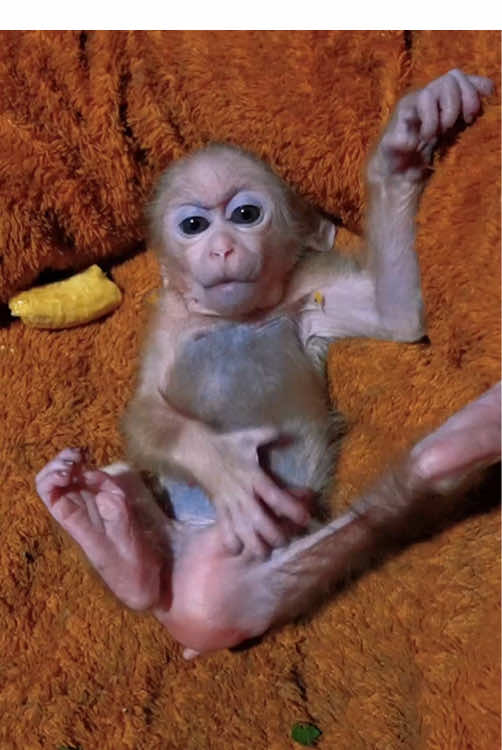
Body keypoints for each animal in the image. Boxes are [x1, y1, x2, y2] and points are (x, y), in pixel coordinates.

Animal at [35, 69, 499, 659]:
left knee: (402, 491)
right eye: (193, 224)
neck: (239, 317)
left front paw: (402, 145)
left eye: (245, 215)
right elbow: (143, 414)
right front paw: (224, 464)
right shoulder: (168, 325)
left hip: (248, 586)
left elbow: (398, 318)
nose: (223, 248)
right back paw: (112, 539)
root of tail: (182, 614)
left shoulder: (305, 297)